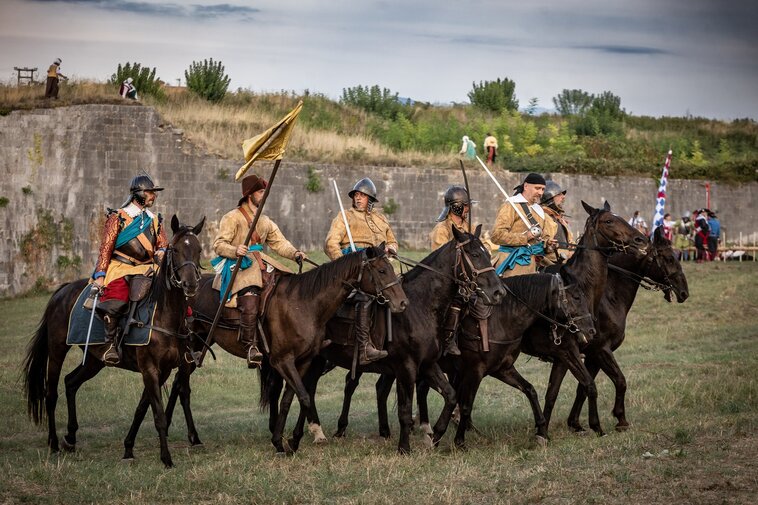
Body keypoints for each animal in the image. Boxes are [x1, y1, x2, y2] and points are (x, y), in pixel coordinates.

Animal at [23, 215, 205, 466]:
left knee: (71, 383)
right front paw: (166, 458)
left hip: (94, 359)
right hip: (57, 349)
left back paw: (70, 437)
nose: (191, 284)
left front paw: (128, 448)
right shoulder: (150, 369)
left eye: (198, 250)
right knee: (51, 393)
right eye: (175, 249)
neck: (164, 314)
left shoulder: (168, 369)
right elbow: (157, 413)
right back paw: (53, 443)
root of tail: (62, 291)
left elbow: (144, 407)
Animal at [544, 225, 692, 434]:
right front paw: (620, 419)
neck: (607, 295)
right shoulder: (601, 350)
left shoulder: (592, 356)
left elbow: (582, 388)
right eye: (669, 258)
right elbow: (620, 381)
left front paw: (575, 423)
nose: (684, 292)